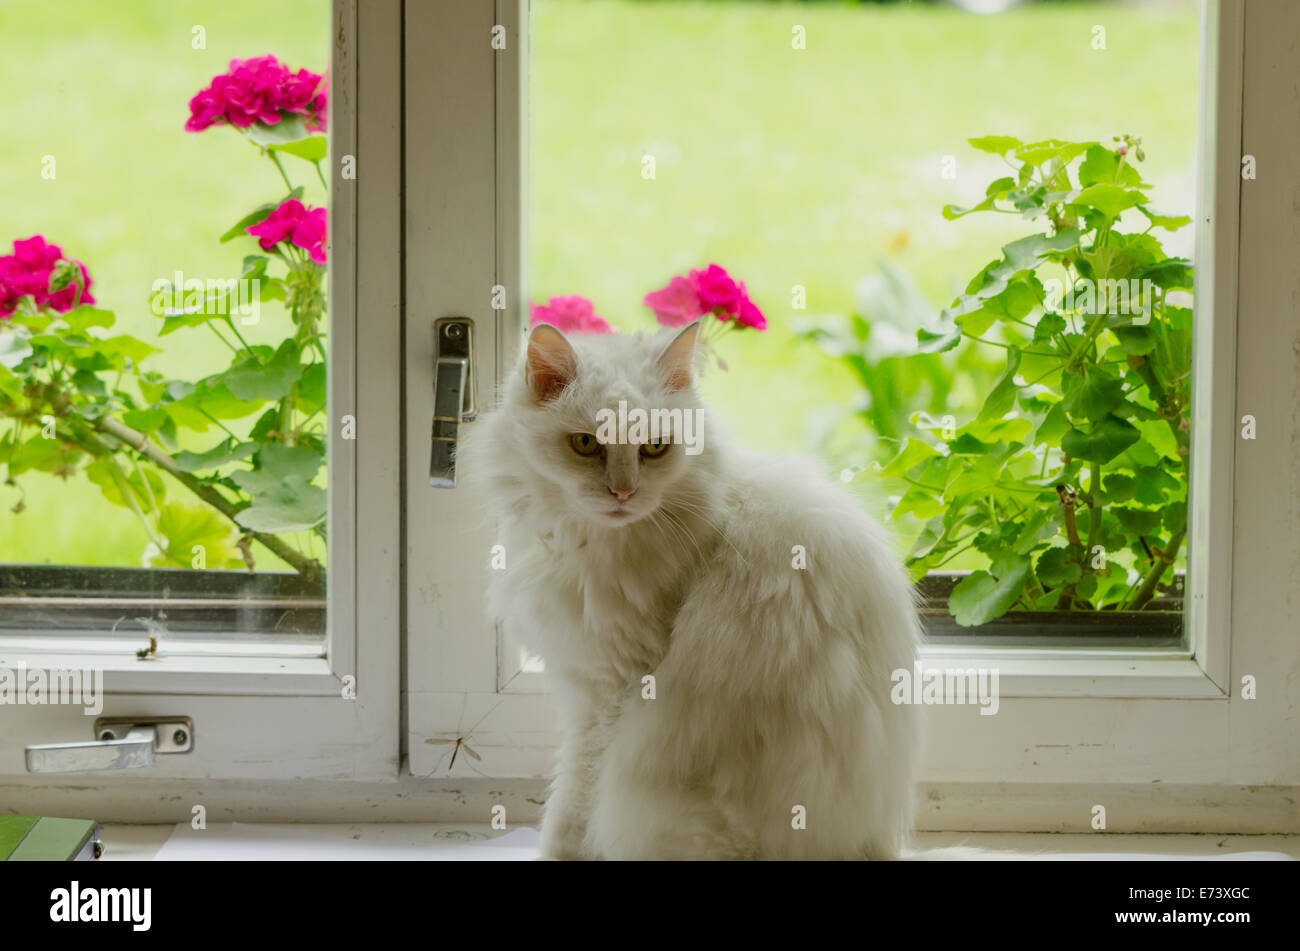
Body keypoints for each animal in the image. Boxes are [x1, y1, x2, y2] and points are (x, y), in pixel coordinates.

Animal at [462, 319, 920, 862]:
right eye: (586, 444)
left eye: (656, 447)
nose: (624, 492)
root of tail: (874, 846)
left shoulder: (608, 691)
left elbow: (573, 799)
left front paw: (558, 853)